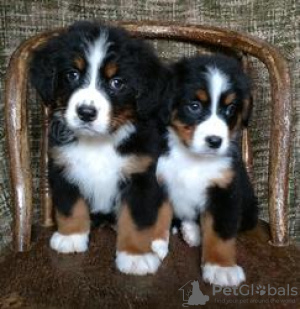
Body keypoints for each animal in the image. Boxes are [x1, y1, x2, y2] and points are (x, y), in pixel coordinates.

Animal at [30, 21, 172, 274]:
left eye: (117, 82)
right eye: (72, 74)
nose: (86, 112)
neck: (98, 143)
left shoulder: (141, 176)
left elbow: (137, 220)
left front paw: (136, 255)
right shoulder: (62, 167)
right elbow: (70, 206)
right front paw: (71, 236)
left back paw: (158, 242)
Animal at [157, 54, 258, 286]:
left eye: (230, 109)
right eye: (194, 106)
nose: (215, 141)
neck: (193, 159)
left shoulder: (225, 191)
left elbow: (220, 233)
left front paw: (221, 267)